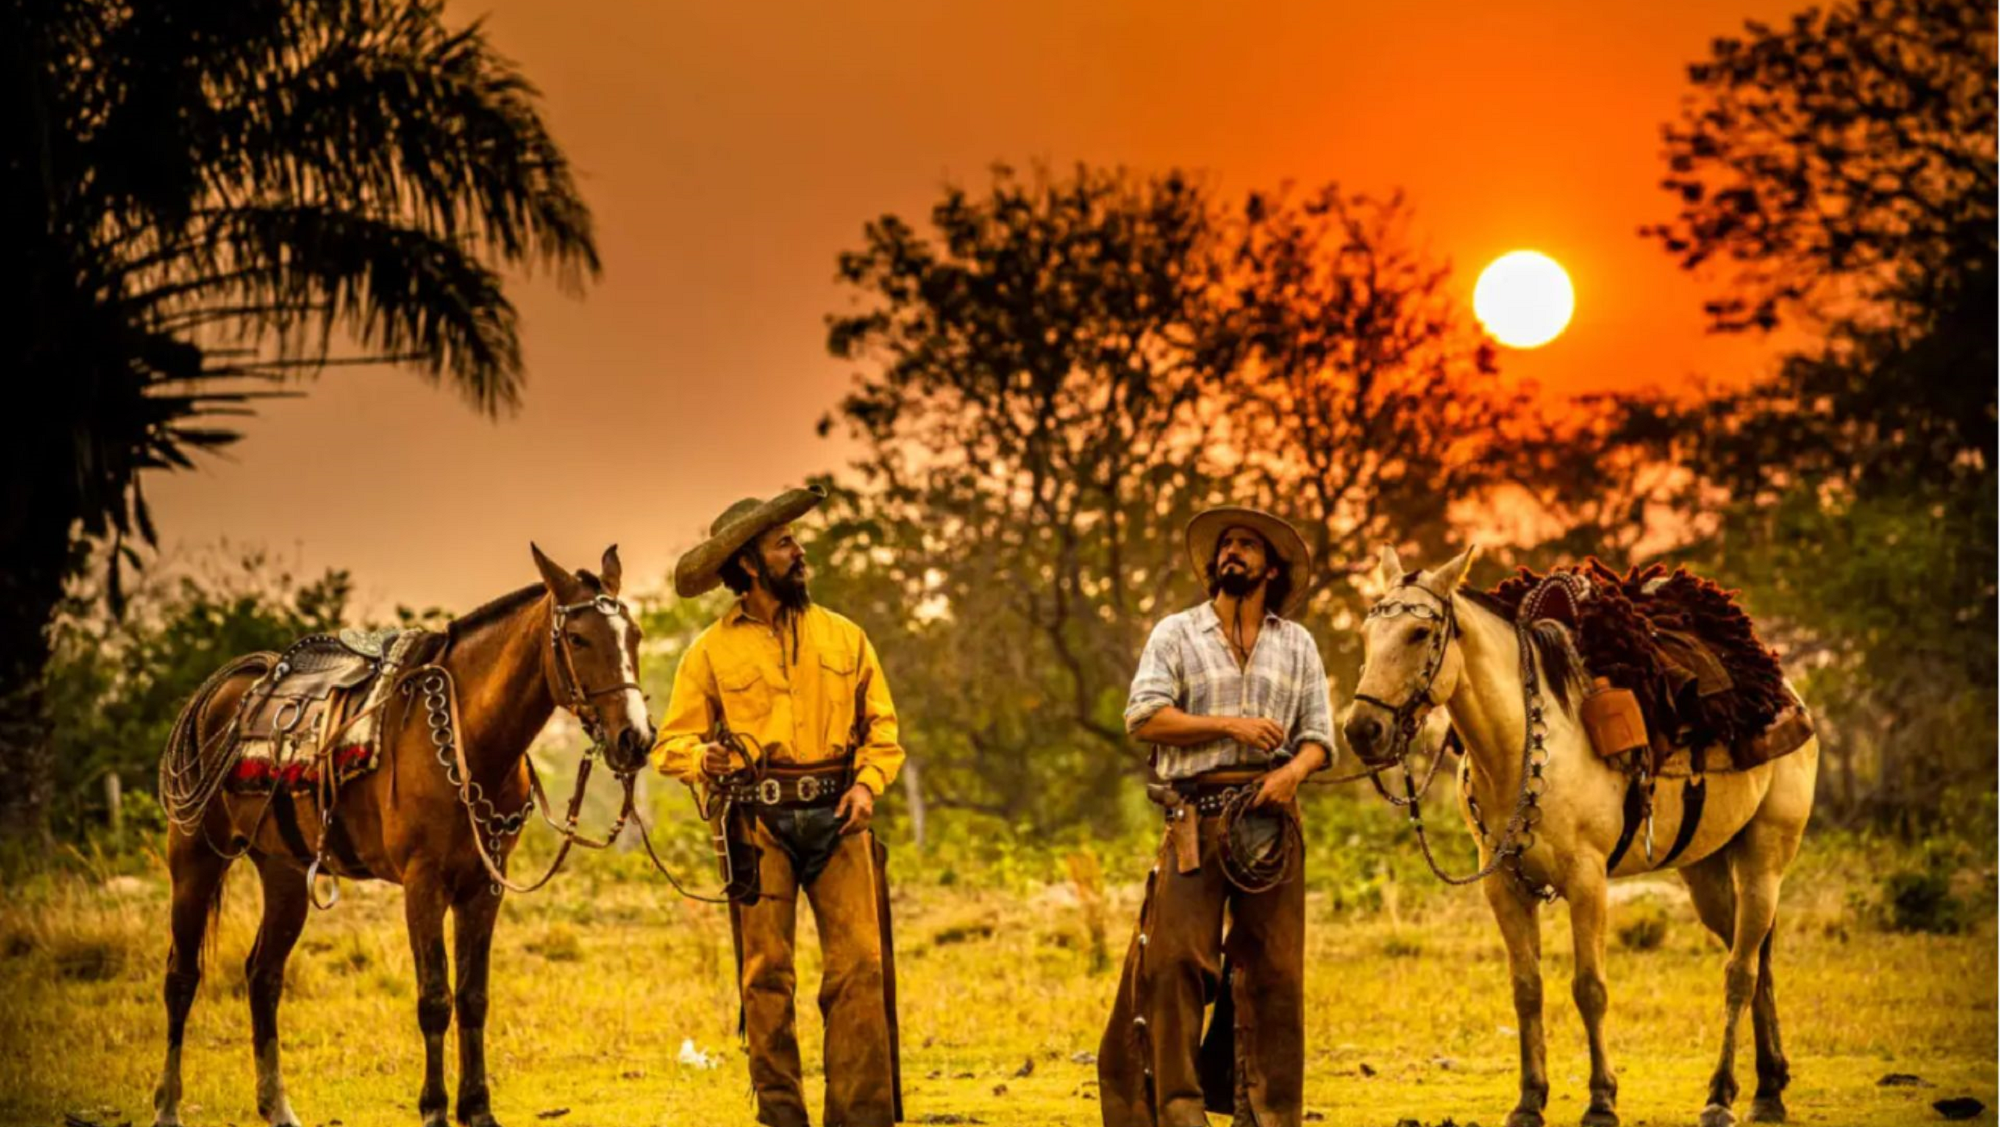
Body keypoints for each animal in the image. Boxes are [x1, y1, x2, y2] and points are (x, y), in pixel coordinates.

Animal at [158, 547, 656, 1127]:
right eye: (577, 638)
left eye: (635, 634)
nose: (636, 738)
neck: (467, 737)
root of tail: (222, 692)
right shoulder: (424, 884)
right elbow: (435, 999)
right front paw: (436, 1108)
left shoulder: (484, 887)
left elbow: (473, 997)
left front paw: (477, 1108)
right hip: (193, 858)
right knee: (181, 977)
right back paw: (167, 1105)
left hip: (283, 873)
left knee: (263, 977)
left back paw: (277, 1106)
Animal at [1336, 547, 1824, 1127]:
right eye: (1367, 634)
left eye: (1418, 633)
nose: (1363, 729)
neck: (1523, 747)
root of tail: (1785, 693)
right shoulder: (1502, 886)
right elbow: (1527, 988)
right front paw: (1529, 1099)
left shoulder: (1587, 880)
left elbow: (1589, 988)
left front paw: (1601, 1100)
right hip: (1705, 870)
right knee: (1757, 958)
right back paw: (1769, 1088)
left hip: (1765, 856)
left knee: (1741, 971)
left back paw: (1722, 1094)